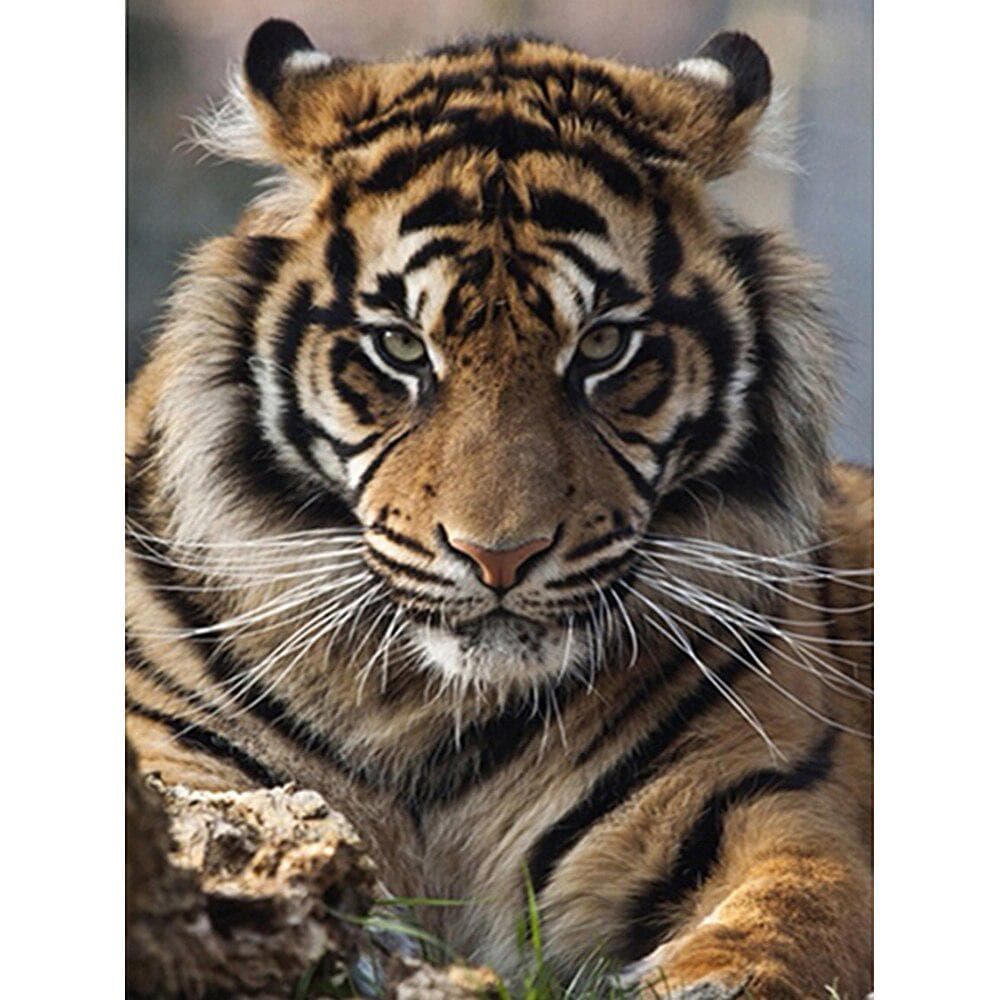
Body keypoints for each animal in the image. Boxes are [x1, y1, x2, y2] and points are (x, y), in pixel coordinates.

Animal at [126, 19, 873, 999]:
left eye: (603, 346)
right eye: (402, 347)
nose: (500, 558)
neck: (427, 711)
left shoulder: (768, 799)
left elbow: (795, 914)